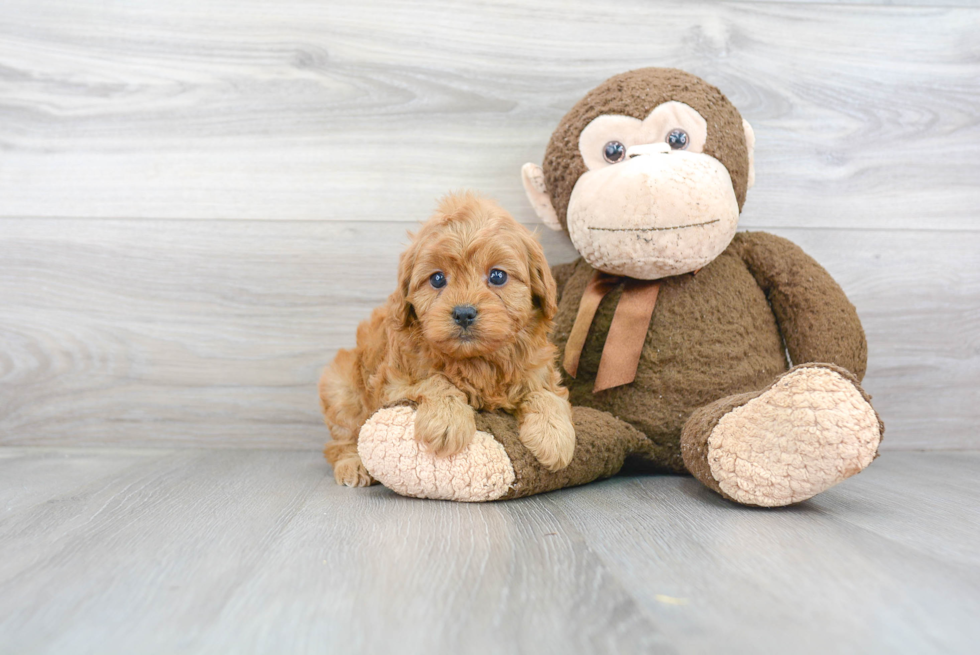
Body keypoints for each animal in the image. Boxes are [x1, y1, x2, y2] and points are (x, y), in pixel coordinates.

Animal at [322, 190, 576, 486]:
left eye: (497, 276)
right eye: (437, 279)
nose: (464, 313)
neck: (477, 361)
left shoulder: (538, 369)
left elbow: (545, 393)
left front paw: (553, 435)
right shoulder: (392, 384)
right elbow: (436, 380)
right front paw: (446, 421)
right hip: (340, 388)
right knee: (342, 439)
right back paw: (352, 465)